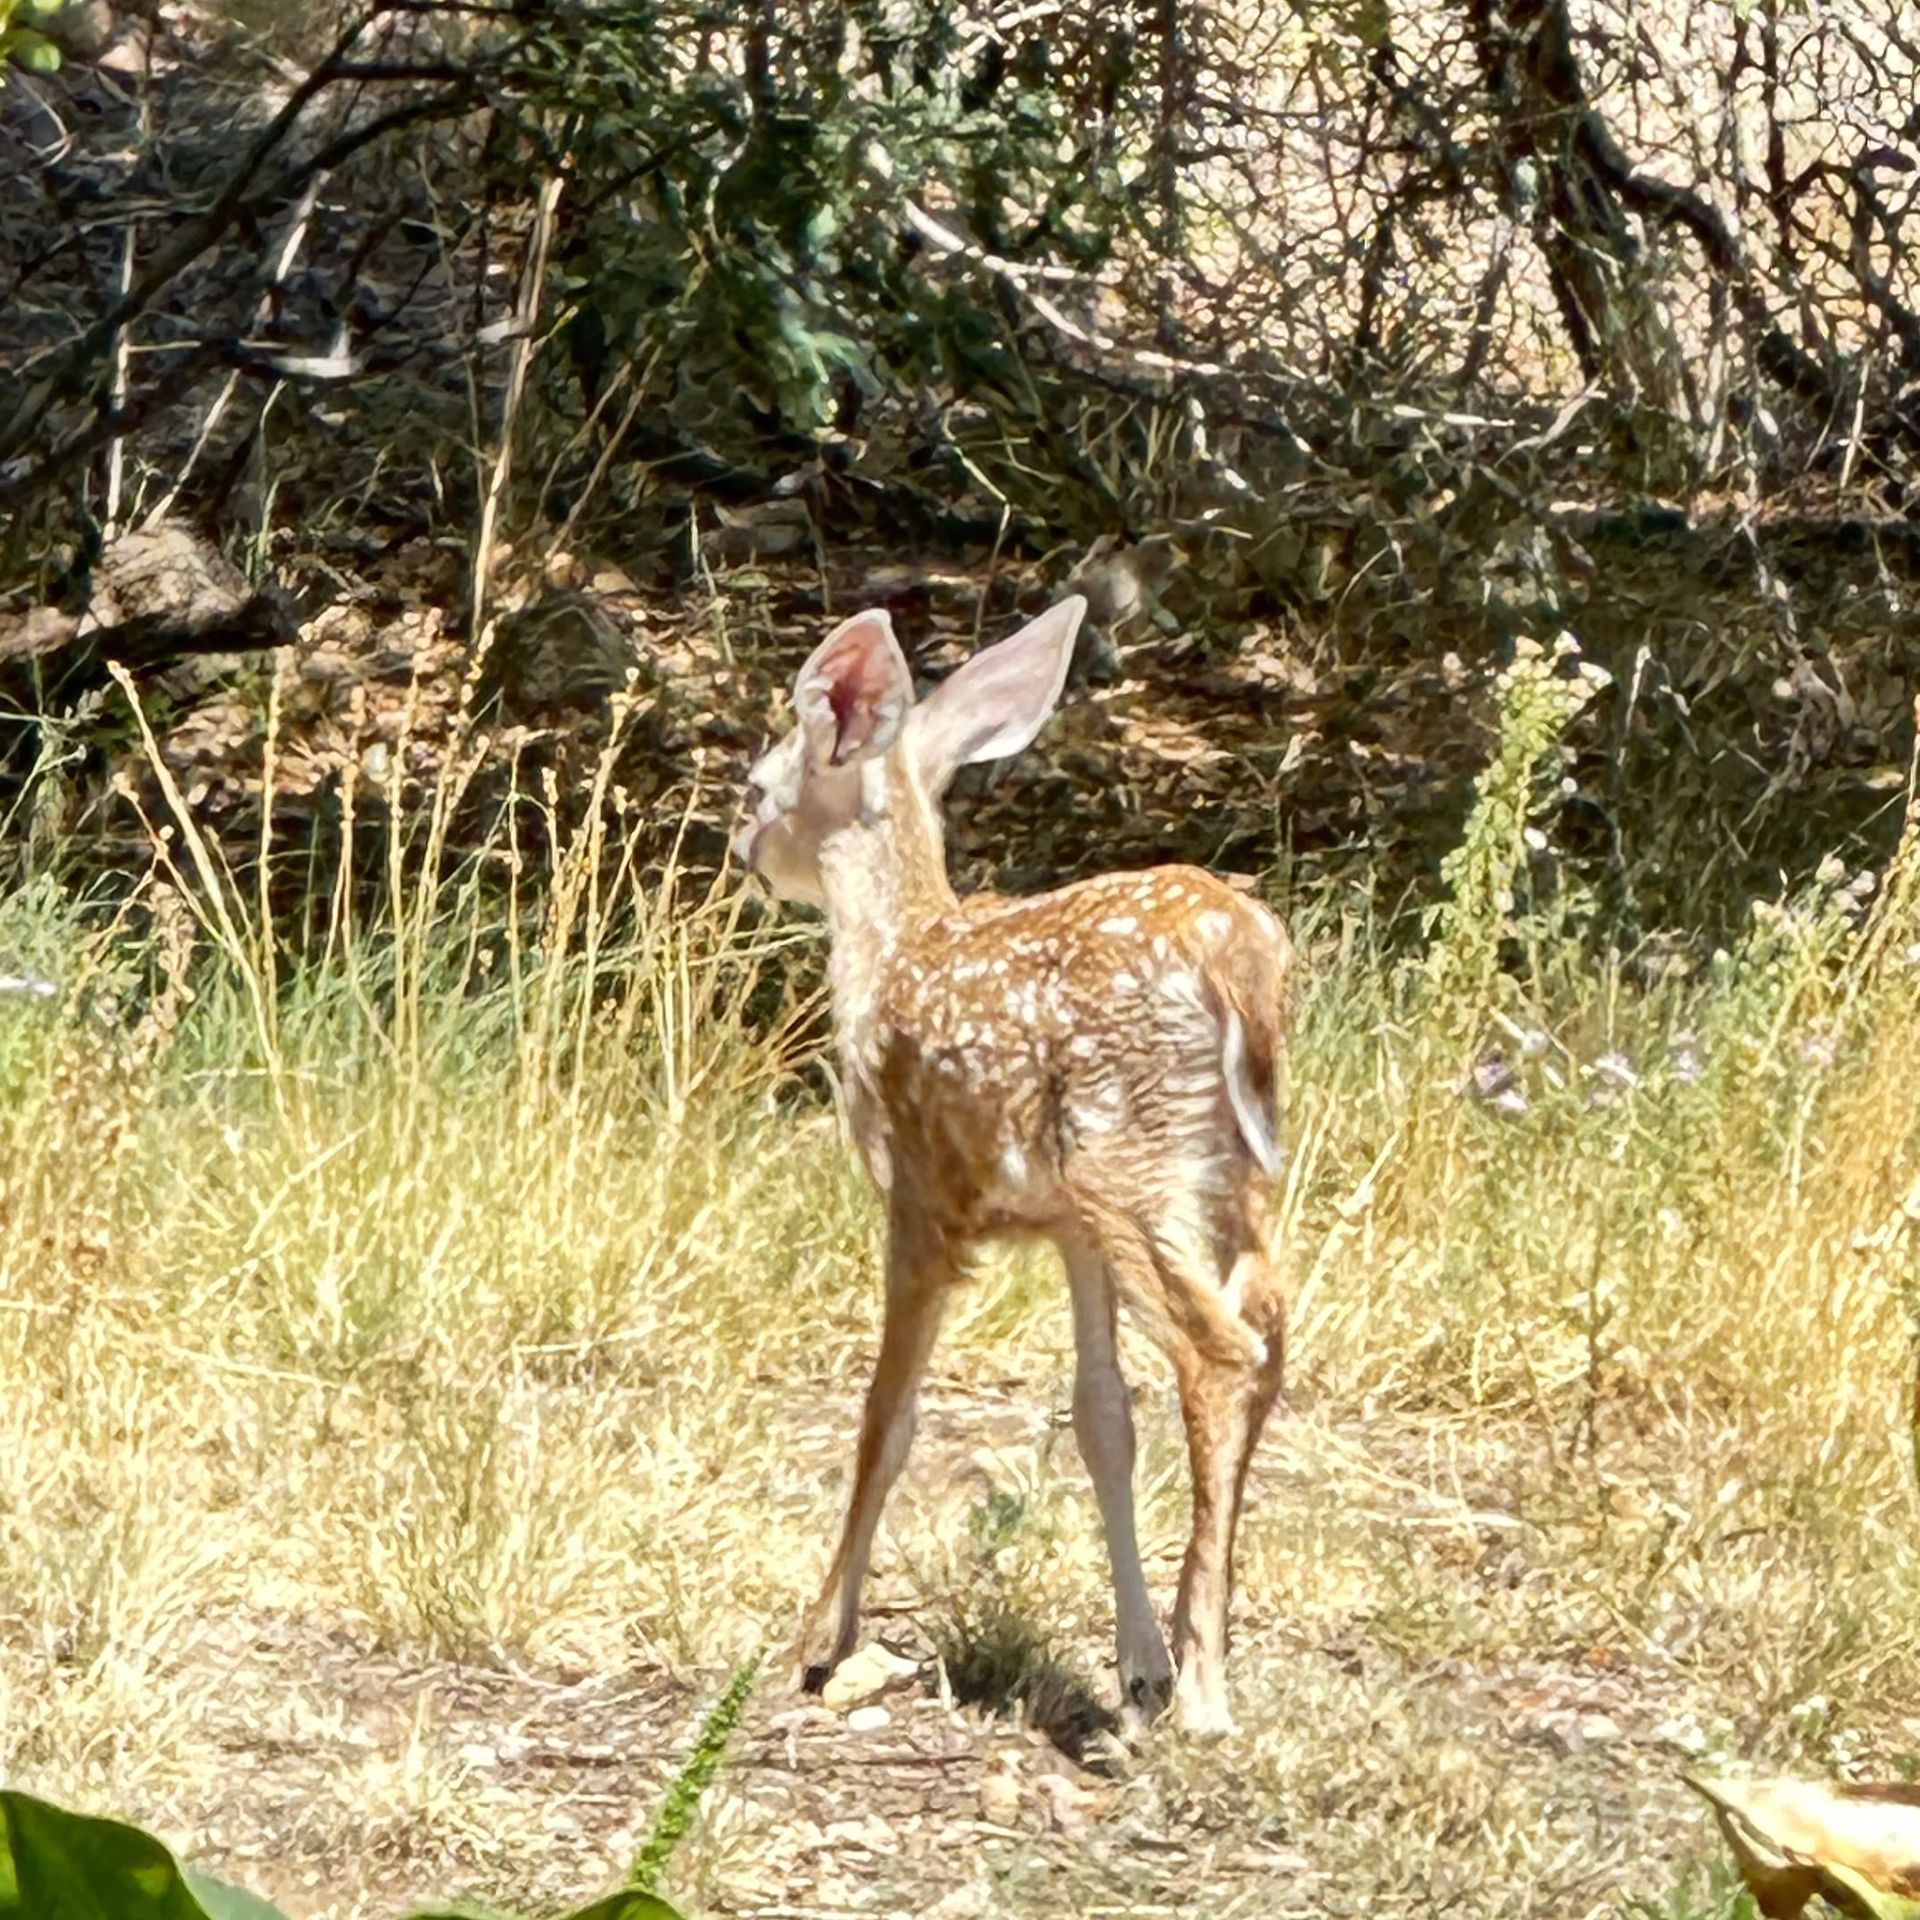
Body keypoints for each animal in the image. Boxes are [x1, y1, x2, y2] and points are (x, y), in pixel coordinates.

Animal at [732, 593, 1294, 1735]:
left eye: (758, 785)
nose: (741, 849)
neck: (893, 951)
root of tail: (1241, 963)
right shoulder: (1068, 1228)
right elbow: (1102, 1418)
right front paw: (1134, 1667)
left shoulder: (919, 1193)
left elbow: (887, 1414)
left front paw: (819, 1641)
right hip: (1223, 1174)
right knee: (1272, 1336)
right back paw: (1193, 1654)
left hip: (1133, 1156)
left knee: (1221, 1354)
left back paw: (1208, 1689)